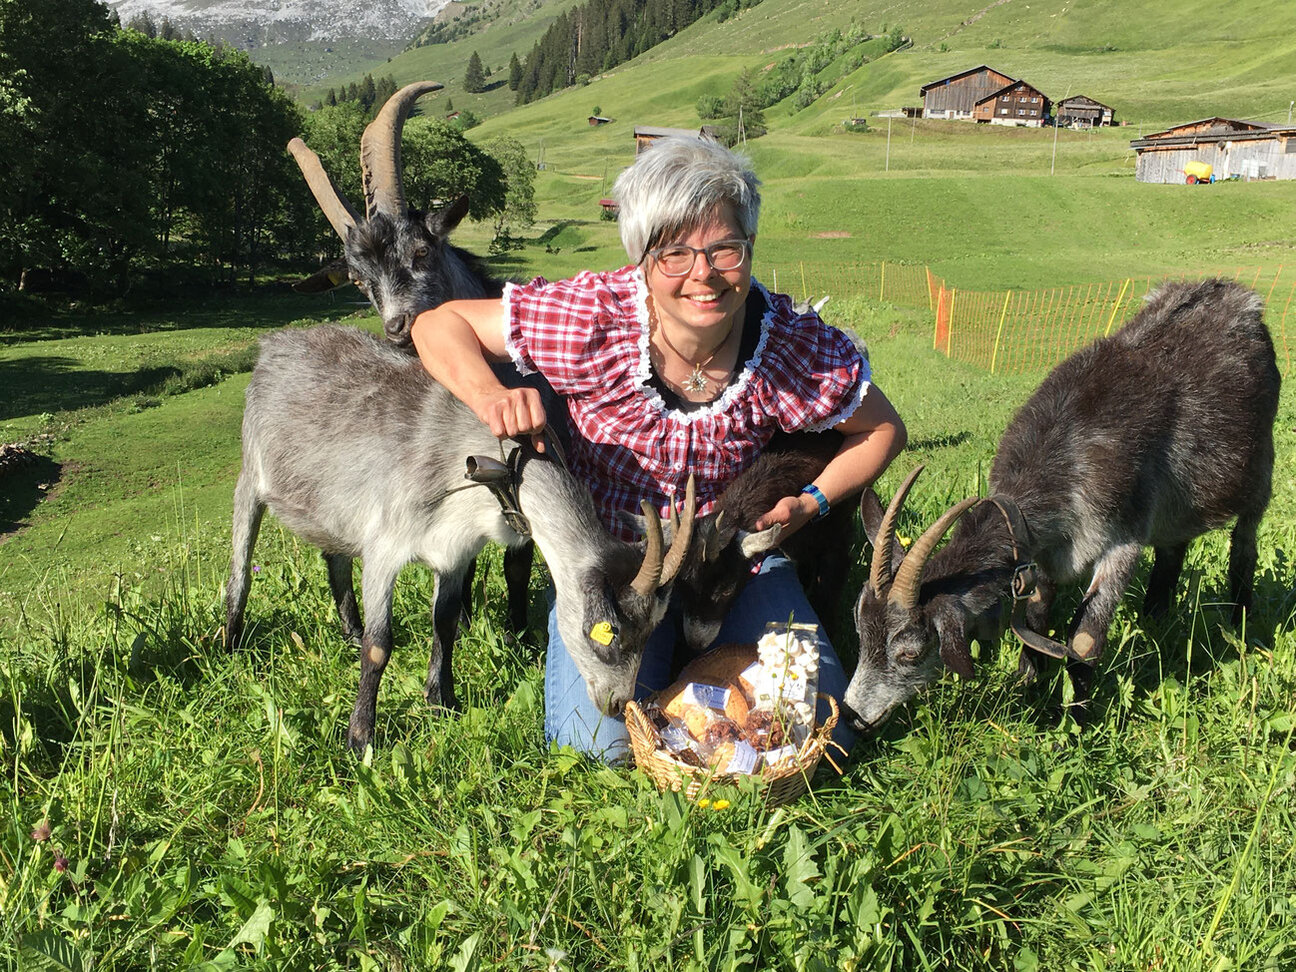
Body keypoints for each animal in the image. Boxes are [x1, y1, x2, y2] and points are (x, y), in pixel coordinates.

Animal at [225, 325, 695, 752]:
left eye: (653, 627)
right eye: (608, 631)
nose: (617, 703)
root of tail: (274, 342)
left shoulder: (454, 554)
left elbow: (446, 623)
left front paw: (442, 701)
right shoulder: (383, 550)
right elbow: (380, 647)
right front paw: (360, 739)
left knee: (334, 558)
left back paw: (350, 630)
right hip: (249, 475)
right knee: (241, 570)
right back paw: (230, 645)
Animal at [286, 80, 534, 646]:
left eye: (423, 250)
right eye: (358, 280)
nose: (399, 328)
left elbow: (517, 562)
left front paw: (519, 636)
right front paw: (467, 623)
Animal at [846, 279, 1280, 733]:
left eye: (909, 651)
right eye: (859, 631)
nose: (854, 714)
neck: (1064, 455)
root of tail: (1237, 296)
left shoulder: (1122, 540)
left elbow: (1085, 641)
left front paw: (1078, 725)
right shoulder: (1044, 556)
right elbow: (1035, 622)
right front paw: (1026, 693)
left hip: (1259, 472)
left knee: (1244, 546)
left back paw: (1240, 624)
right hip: (1176, 508)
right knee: (1172, 551)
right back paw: (1156, 619)